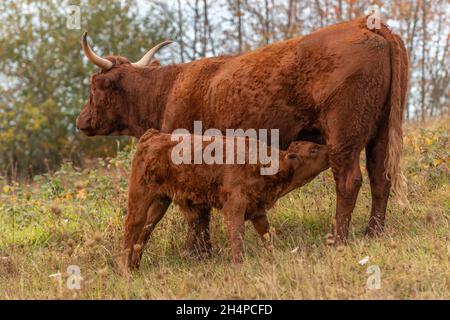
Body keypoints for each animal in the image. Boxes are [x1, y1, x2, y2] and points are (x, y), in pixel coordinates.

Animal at [78, 16, 412, 249]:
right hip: (380, 133)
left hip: (344, 135)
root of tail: (366, 25)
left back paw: (338, 238)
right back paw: (373, 232)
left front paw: (197, 252)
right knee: (380, 177)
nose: (81, 121)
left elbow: (196, 213)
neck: (167, 90)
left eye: (94, 86)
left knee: (349, 181)